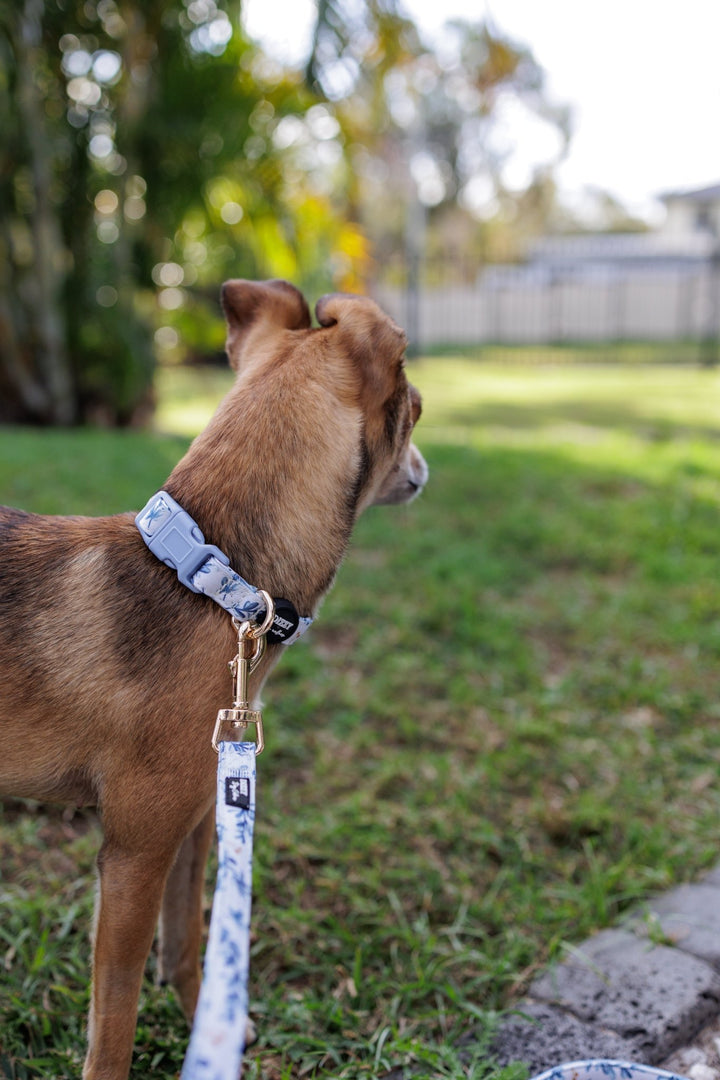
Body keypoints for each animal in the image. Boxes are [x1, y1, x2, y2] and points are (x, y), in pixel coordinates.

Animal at [0, 278, 428, 1080]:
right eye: (416, 405)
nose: (424, 468)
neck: (215, 583)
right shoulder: (132, 858)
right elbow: (115, 1019)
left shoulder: (201, 818)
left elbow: (192, 942)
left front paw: (212, 1024)